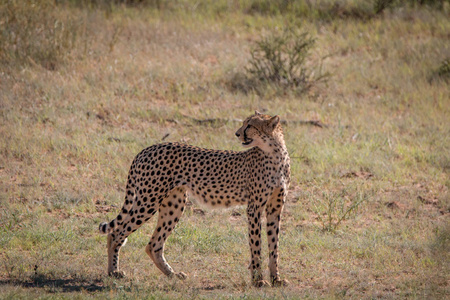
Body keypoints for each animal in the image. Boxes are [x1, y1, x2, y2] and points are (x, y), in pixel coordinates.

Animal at [97, 111, 292, 288]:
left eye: (250, 125)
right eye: (244, 123)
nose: (237, 133)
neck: (275, 153)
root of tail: (147, 149)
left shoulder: (275, 209)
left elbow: (274, 246)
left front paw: (276, 279)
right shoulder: (254, 208)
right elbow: (256, 245)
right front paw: (258, 280)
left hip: (173, 204)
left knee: (153, 245)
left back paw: (173, 274)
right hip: (148, 200)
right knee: (116, 233)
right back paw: (113, 271)